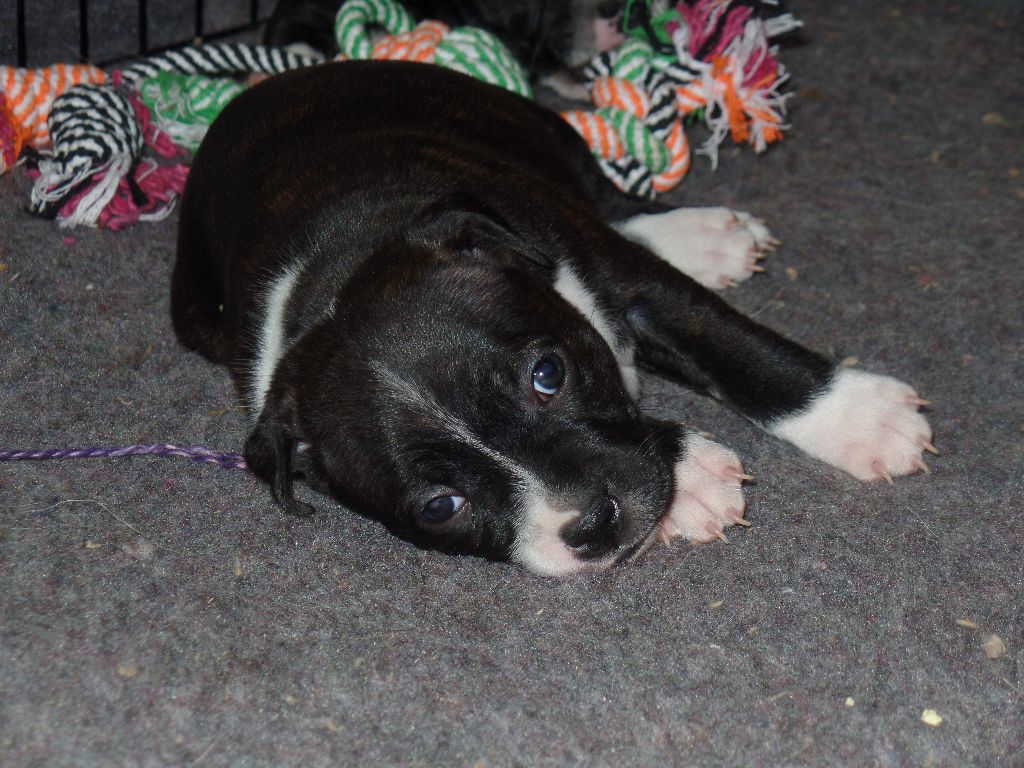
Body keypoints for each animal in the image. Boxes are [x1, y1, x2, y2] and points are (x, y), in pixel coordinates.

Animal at [171, 61, 934, 576]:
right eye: (440, 507)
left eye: (548, 374)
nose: (594, 522)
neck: (333, 275)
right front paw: (690, 480)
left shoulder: (627, 279)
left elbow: (738, 350)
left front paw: (861, 419)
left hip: (536, 134)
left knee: (613, 199)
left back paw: (705, 235)